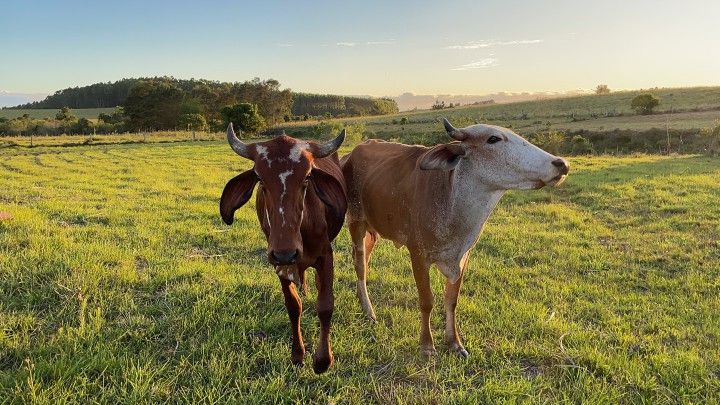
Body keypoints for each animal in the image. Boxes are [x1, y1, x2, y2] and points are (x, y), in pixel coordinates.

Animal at [221, 124, 348, 372]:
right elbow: (293, 306)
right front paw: (298, 354)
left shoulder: (326, 255)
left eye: (307, 176)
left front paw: (322, 360)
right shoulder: (278, 262)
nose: (287, 252)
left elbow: (325, 305)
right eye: (260, 178)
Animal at [340, 117, 572, 356]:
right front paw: (427, 345)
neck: (451, 202)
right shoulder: (418, 255)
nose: (561, 164)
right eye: (493, 139)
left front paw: (454, 343)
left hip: (372, 231)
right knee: (360, 265)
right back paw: (369, 311)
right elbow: (427, 301)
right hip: (356, 221)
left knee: (365, 260)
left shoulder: (463, 256)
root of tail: (349, 155)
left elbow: (451, 301)